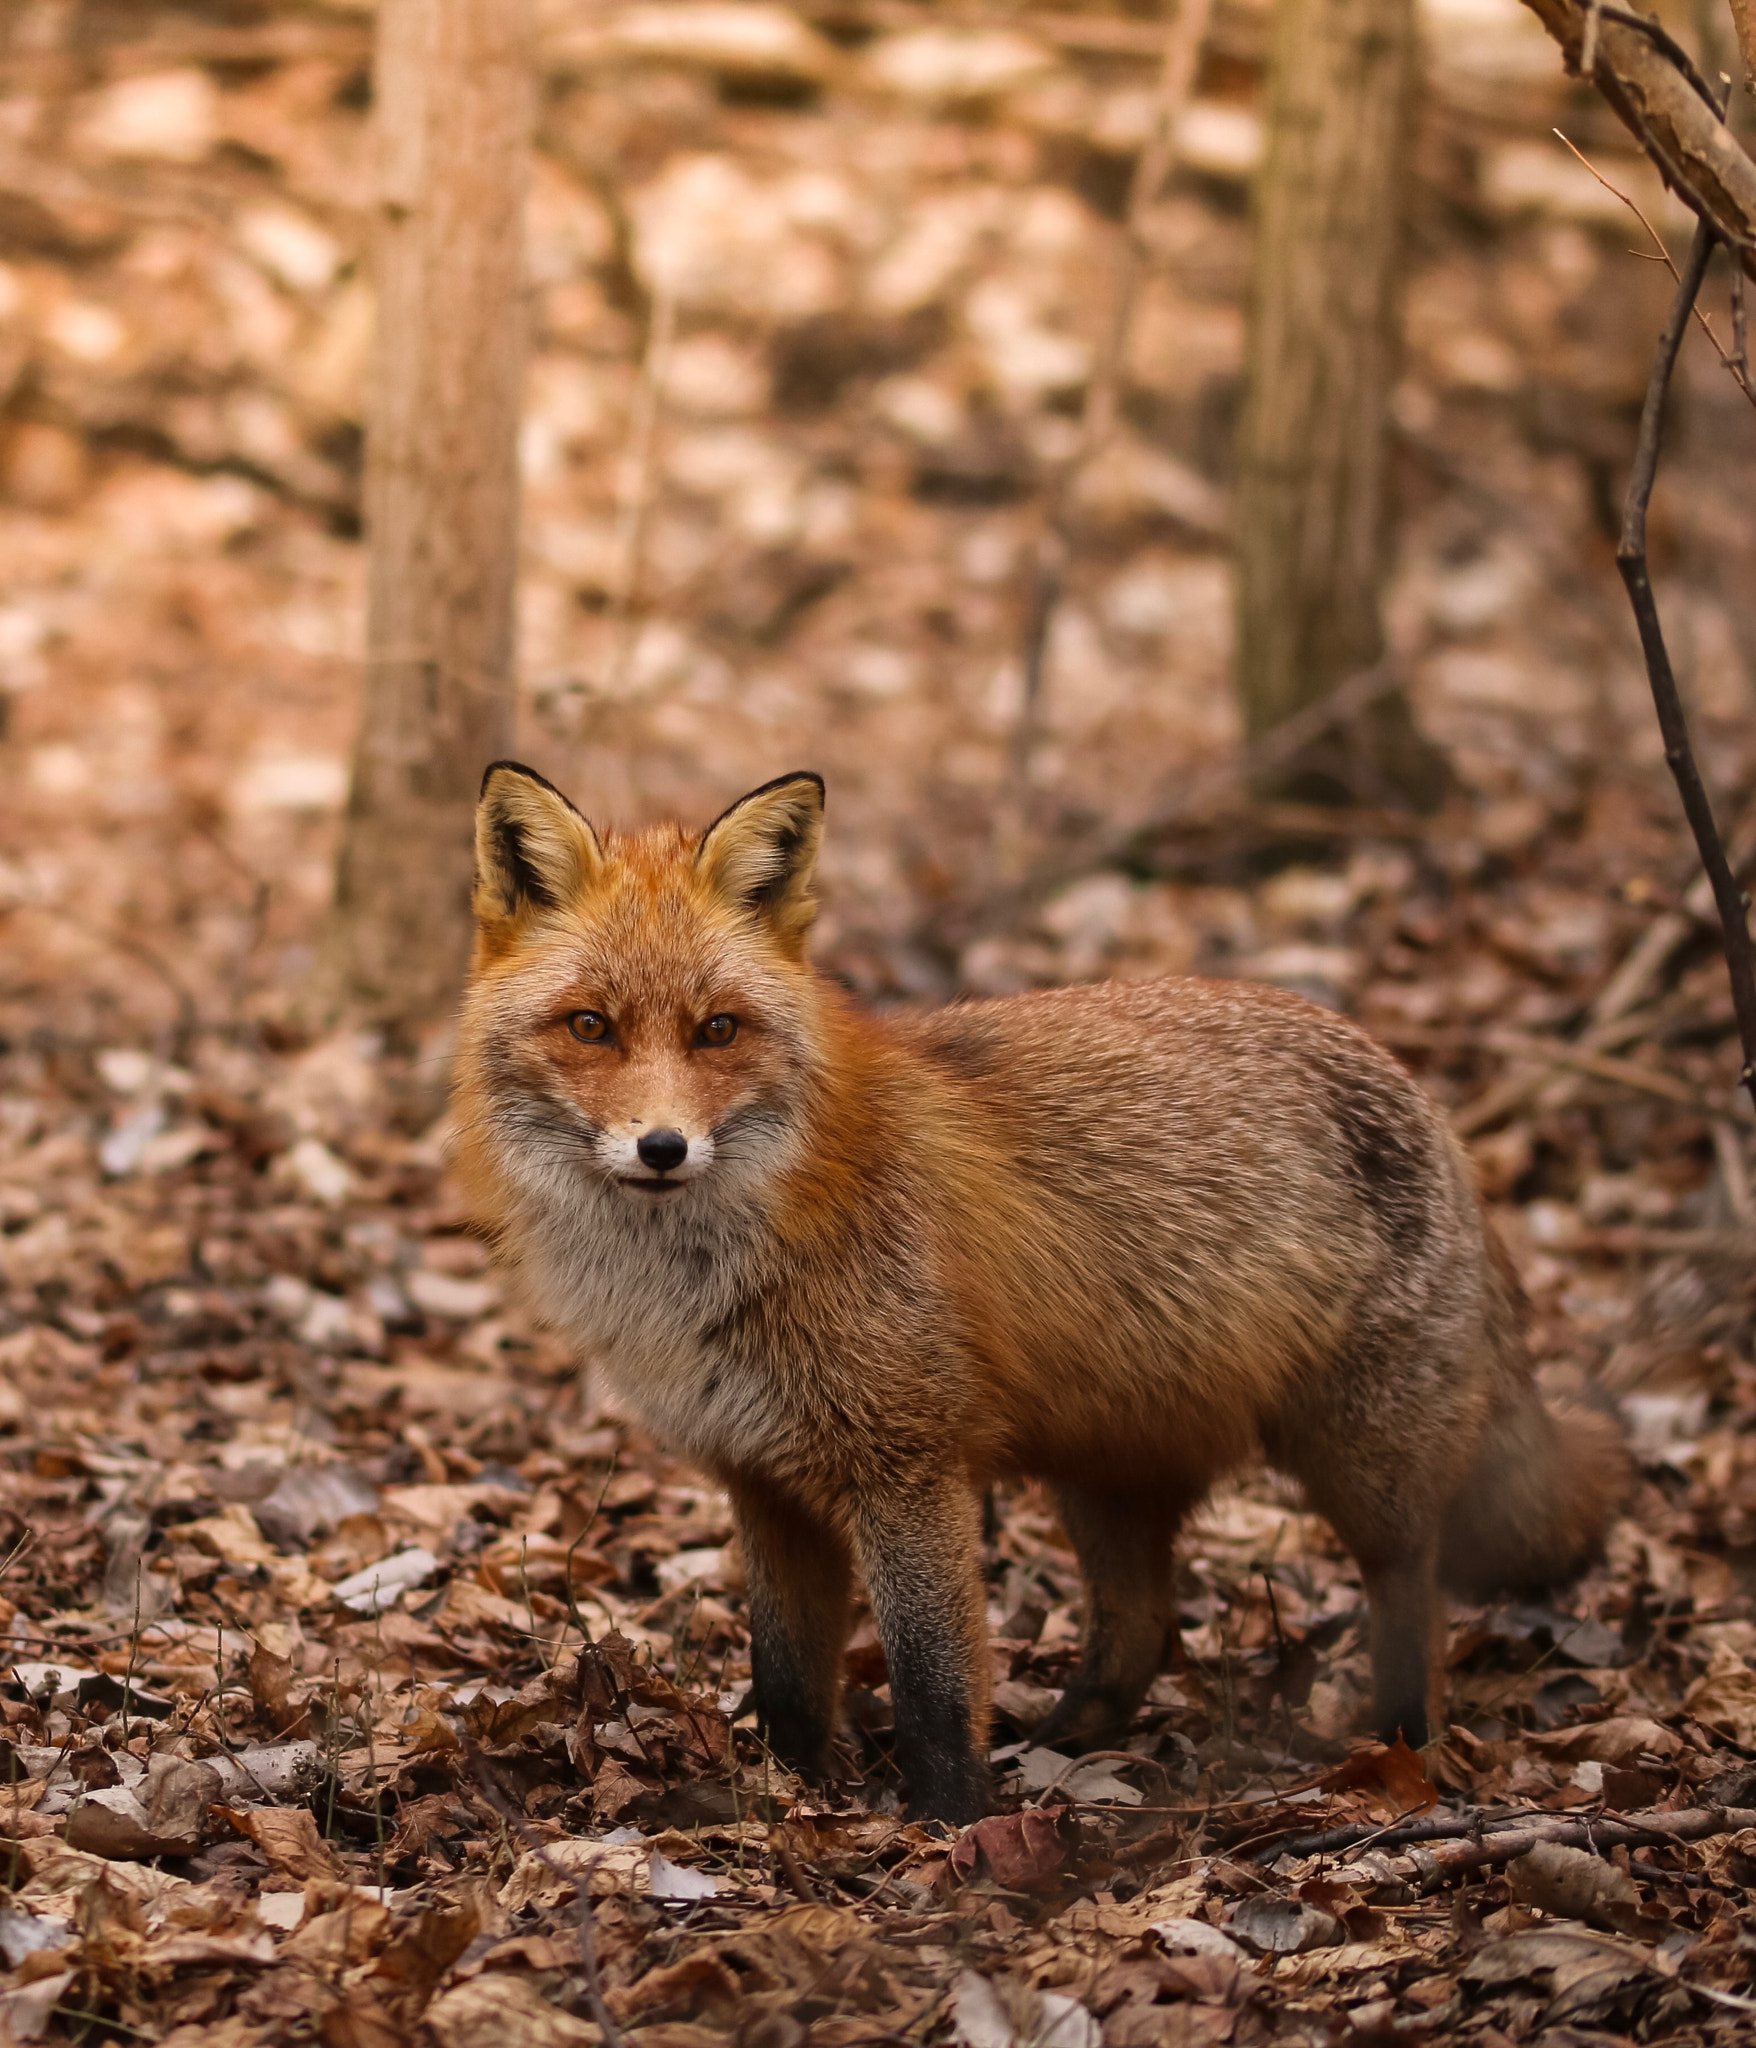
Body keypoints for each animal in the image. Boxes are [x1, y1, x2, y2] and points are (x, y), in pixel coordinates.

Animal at [452, 770, 1631, 1826]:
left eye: (718, 1030)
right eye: (591, 1027)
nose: (662, 1147)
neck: (702, 1273)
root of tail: (1427, 1093)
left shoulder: (906, 1466)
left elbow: (933, 1686)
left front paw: (949, 1831)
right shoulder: (762, 1478)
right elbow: (784, 1677)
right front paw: (785, 1797)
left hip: (1358, 1462)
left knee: (1416, 1594)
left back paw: (1403, 1749)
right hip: (1105, 1471)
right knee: (1146, 1626)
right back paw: (1067, 1743)